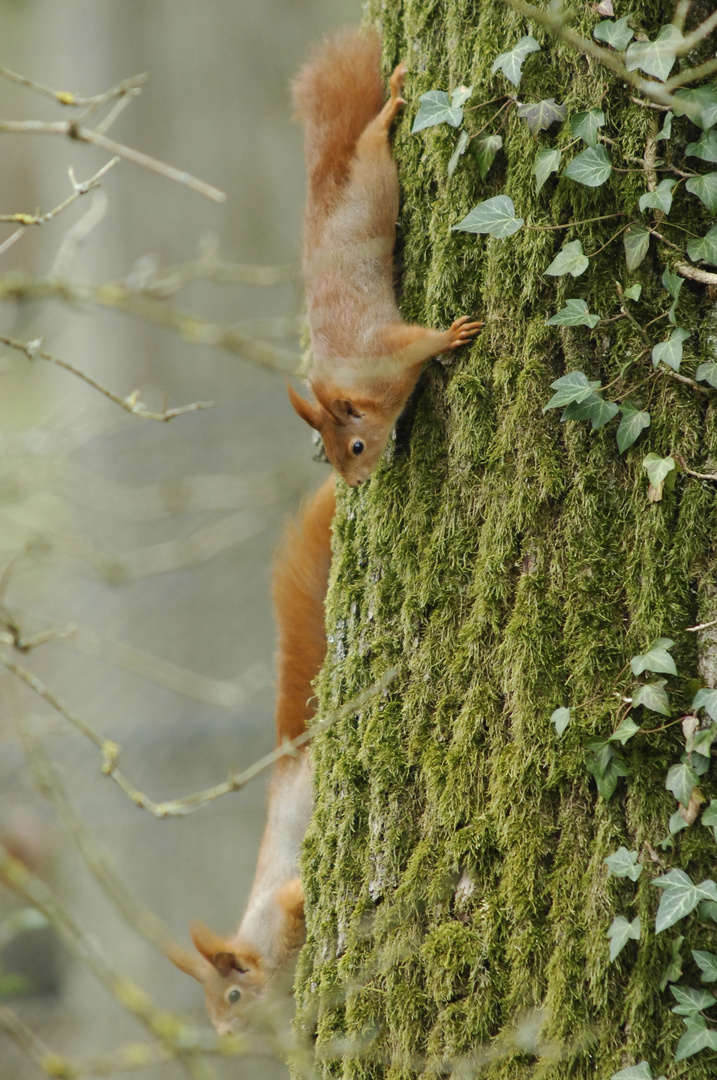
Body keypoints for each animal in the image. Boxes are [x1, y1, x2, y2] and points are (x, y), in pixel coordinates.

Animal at [168, 477, 336, 1032]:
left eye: (234, 996)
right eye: (209, 1009)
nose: (223, 1036)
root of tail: (291, 761)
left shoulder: (278, 911)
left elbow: (296, 895)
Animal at [287, 29, 481, 488]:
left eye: (357, 446)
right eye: (332, 455)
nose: (356, 483)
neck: (365, 388)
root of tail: (325, 190)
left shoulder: (389, 349)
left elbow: (421, 342)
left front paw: (451, 334)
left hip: (374, 173)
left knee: (373, 136)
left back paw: (392, 102)